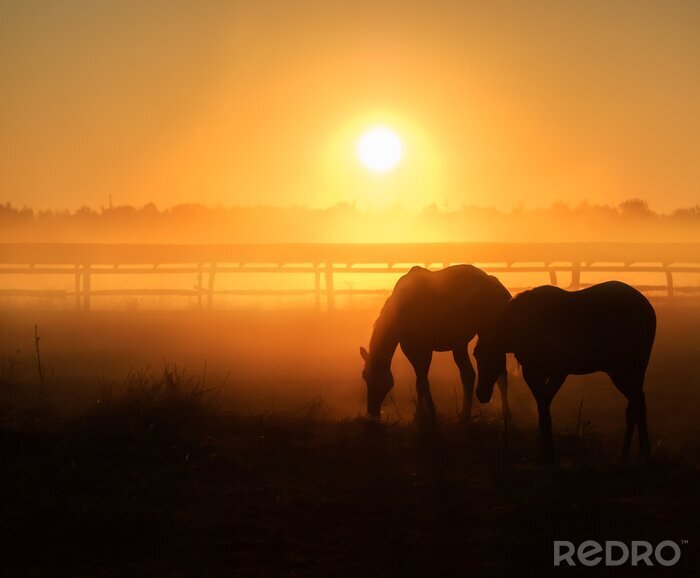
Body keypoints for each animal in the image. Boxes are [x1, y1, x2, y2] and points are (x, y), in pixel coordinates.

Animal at [360, 264, 512, 422]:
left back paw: (500, 414)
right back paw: (469, 415)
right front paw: (425, 413)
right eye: (365, 376)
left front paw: (425, 414)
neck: (402, 310)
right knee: (473, 374)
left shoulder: (423, 349)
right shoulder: (411, 349)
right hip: (463, 343)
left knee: (494, 373)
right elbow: (421, 381)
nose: (372, 412)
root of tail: (500, 288)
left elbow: (422, 381)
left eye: (383, 381)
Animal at [474, 281, 656, 461]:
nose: (481, 393)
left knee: (636, 402)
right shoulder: (551, 374)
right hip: (636, 371)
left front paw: (549, 455)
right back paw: (642, 453)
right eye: (475, 354)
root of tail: (647, 309)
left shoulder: (540, 373)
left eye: (489, 354)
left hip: (619, 372)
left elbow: (544, 410)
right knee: (637, 405)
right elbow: (543, 408)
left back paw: (627, 455)